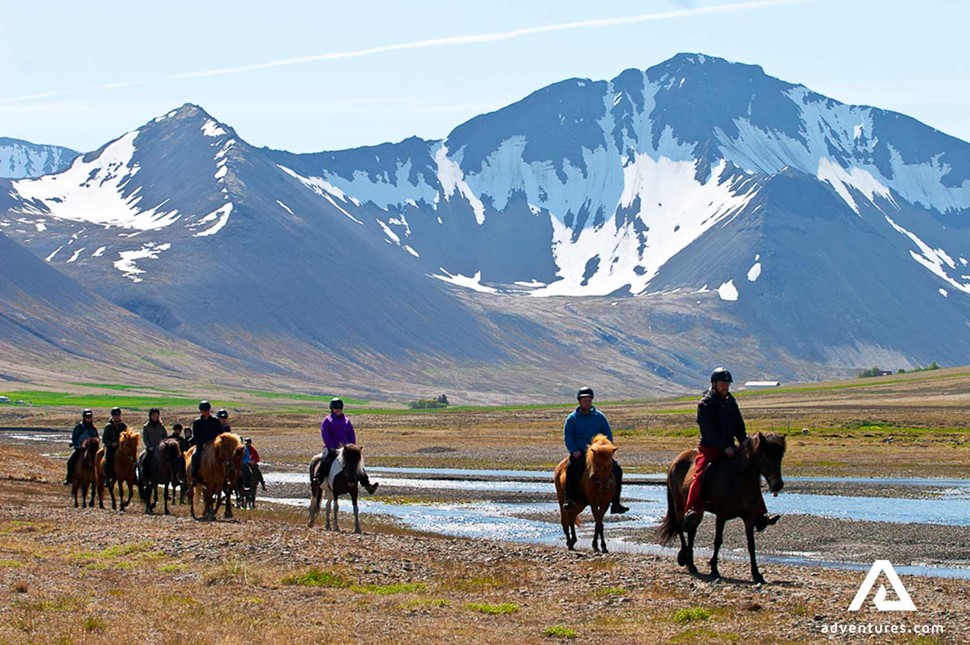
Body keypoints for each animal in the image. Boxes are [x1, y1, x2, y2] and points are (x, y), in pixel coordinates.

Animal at [656, 432, 788, 584]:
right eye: (766, 455)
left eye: (781, 456)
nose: (777, 485)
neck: (739, 477)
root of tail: (675, 461)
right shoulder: (721, 515)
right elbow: (718, 541)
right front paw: (714, 569)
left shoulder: (749, 517)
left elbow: (751, 544)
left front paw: (756, 574)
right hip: (680, 505)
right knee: (680, 527)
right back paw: (683, 557)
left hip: (698, 511)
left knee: (691, 531)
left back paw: (691, 564)